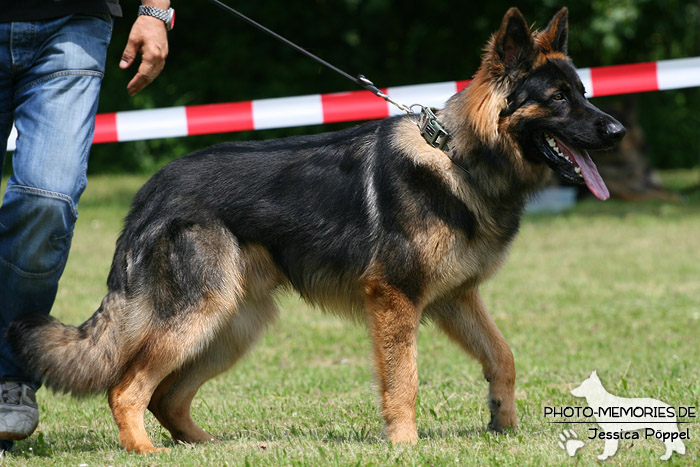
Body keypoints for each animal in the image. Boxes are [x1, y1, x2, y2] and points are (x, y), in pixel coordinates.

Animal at [9, 6, 624, 454]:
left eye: (584, 92)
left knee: (167, 396)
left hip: (233, 324)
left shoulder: (456, 298)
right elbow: (405, 381)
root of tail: (151, 192)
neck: (461, 158)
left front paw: (504, 424)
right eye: (559, 98)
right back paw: (145, 451)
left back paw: (211, 445)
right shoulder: (396, 300)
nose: (617, 130)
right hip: (200, 316)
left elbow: (503, 357)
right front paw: (405, 445)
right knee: (126, 388)